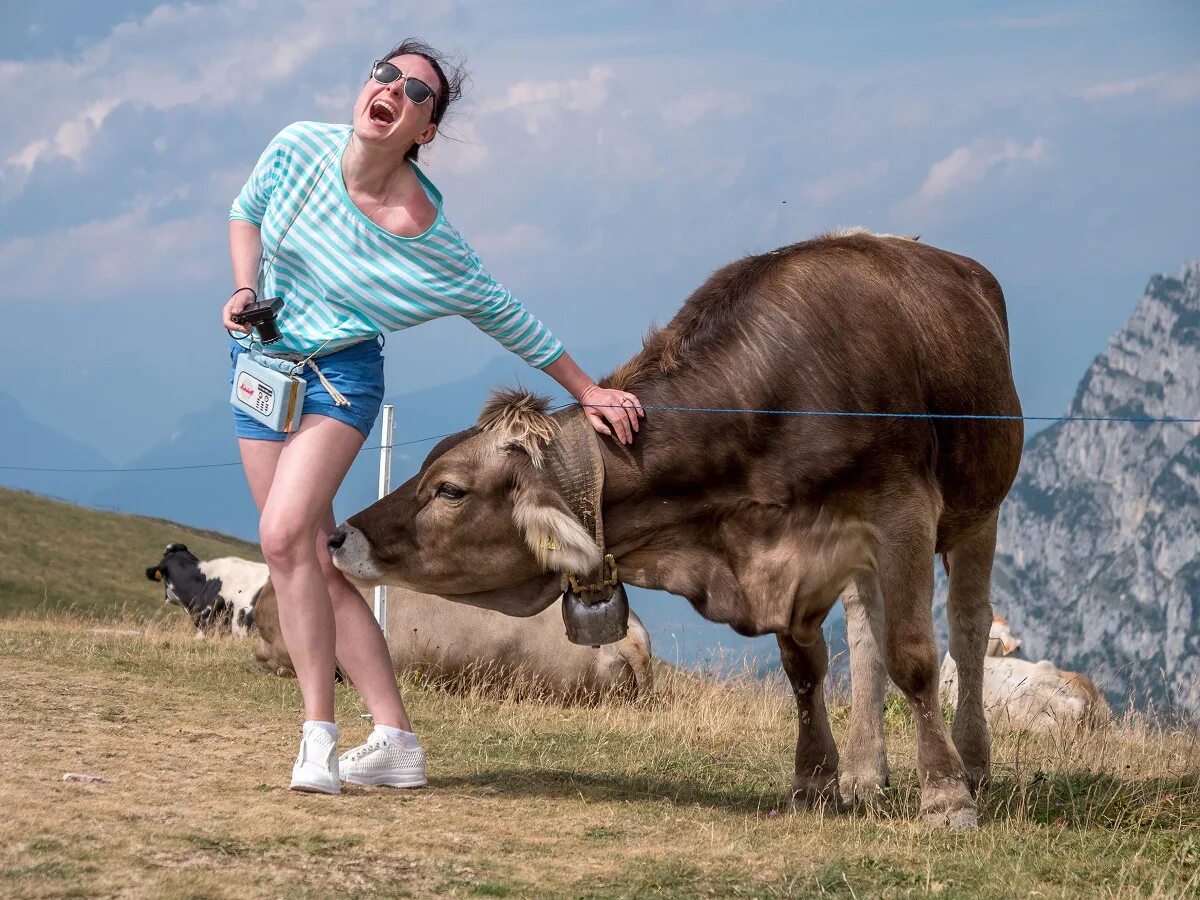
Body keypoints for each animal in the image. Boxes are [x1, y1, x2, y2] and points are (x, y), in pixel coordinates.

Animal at [328, 232, 1022, 830]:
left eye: (449, 488)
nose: (339, 537)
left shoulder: (901, 512)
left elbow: (915, 657)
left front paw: (945, 796)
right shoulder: (793, 554)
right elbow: (807, 667)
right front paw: (815, 783)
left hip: (978, 511)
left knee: (965, 628)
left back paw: (974, 765)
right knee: (865, 634)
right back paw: (865, 773)